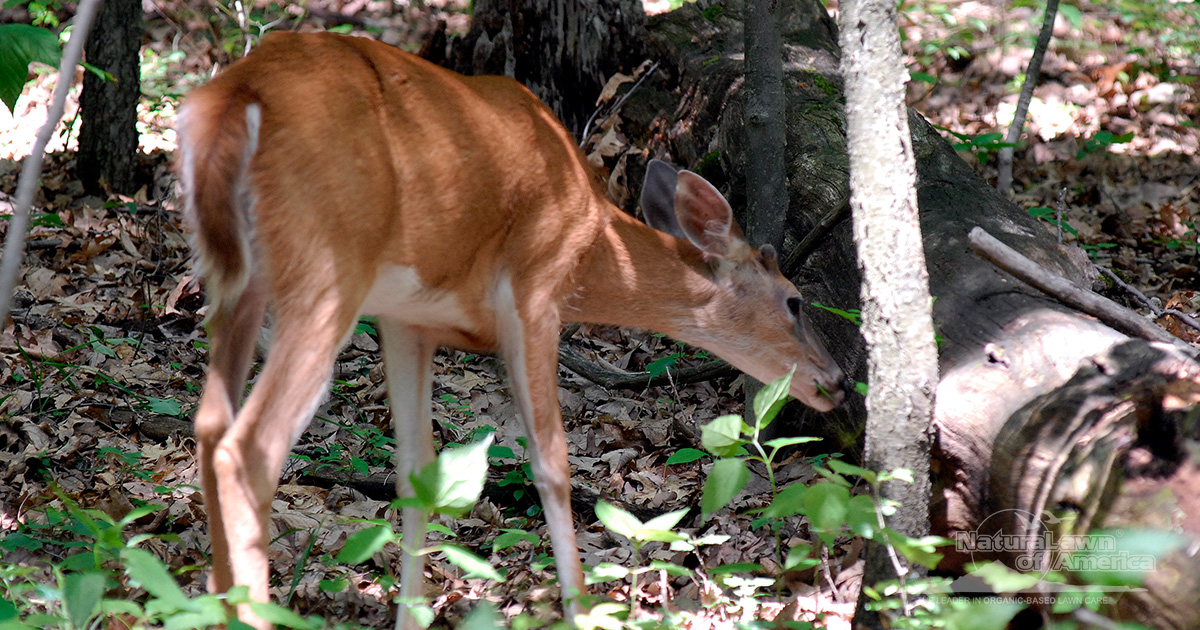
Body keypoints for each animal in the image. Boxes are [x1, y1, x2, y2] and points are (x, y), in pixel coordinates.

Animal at [176, 31, 846, 630]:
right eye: (794, 301)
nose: (837, 380)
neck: (594, 237)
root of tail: (239, 91)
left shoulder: (406, 315)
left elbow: (417, 468)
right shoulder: (535, 291)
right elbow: (552, 464)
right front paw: (579, 611)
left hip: (237, 280)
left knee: (208, 426)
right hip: (327, 267)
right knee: (249, 446)